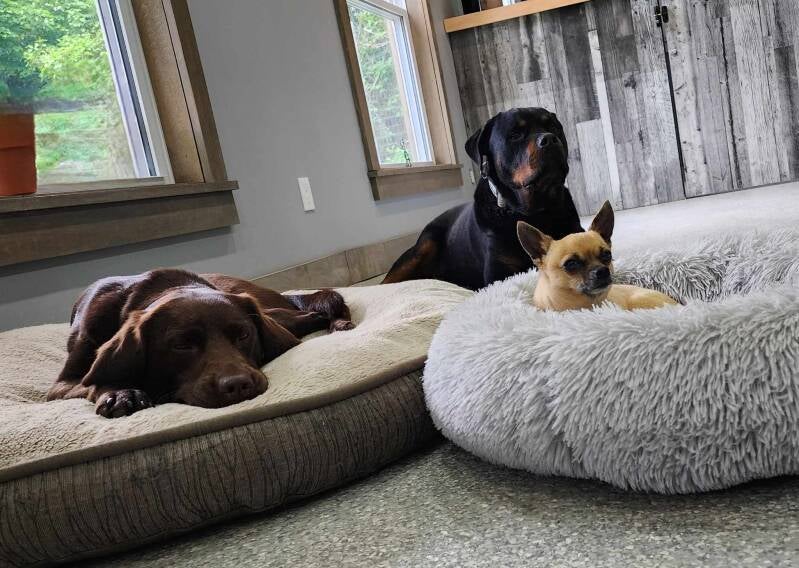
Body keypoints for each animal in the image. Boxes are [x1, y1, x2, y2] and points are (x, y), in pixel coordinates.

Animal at [47, 269, 354, 418]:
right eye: (181, 344)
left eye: (243, 335)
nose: (238, 385)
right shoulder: (62, 385)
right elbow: (95, 380)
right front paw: (122, 394)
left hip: (273, 313)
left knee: (317, 311)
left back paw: (339, 324)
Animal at [382, 108, 583, 290]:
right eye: (515, 135)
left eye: (554, 127)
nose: (549, 138)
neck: (536, 212)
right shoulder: (499, 274)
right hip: (422, 247)